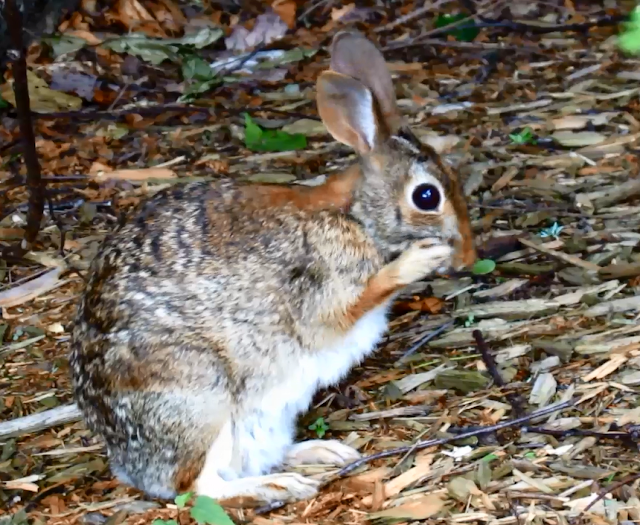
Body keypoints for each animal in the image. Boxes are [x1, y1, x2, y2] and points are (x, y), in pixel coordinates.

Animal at [70, 28, 478, 504]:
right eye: (427, 196)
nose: (469, 256)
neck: (356, 215)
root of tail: (129, 467)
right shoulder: (323, 288)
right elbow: (352, 303)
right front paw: (421, 259)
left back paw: (323, 451)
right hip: (200, 402)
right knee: (200, 487)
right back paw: (280, 485)